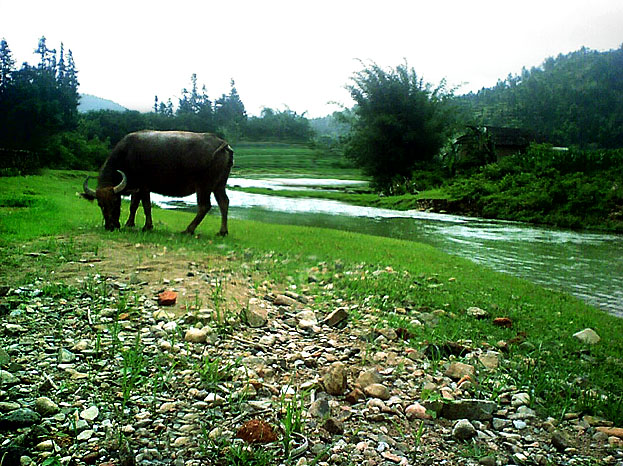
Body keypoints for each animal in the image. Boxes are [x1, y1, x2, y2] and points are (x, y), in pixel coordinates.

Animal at [84, 130, 235, 235]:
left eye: (115, 201)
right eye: (100, 204)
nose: (110, 226)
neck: (126, 155)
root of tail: (222, 144)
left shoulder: (144, 187)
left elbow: (146, 206)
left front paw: (147, 226)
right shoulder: (136, 188)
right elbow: (133, 206)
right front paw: (129, 224)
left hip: (203, 187)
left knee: (204, 206)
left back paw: (188, 230)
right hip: (219, 185)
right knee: (224, 202)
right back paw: (223, 232)